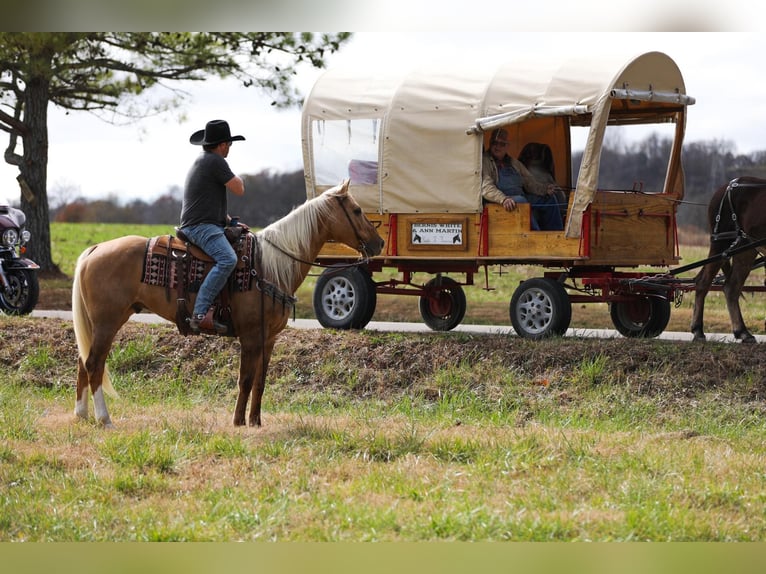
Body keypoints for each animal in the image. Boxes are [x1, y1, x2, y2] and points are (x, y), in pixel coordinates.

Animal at [72, 180, 384, 428]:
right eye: (357, 211)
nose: (379, 243)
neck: (269, 266)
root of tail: (95, 250)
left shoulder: (268, 338)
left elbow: (260, 381)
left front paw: (255, 421)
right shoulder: (250, 336)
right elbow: (245, 379)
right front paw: (238, 422)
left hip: (100, 323)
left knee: (84, 362)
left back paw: (82, 415)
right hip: (108, 322)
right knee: (95, 363)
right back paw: (104, 419)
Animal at [692, 178, 766, 344]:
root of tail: (726, 186)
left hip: (745, 248)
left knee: (731, 287)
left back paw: (742, 331)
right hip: (721, 242)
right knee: (703, 283)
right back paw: (698, 330)